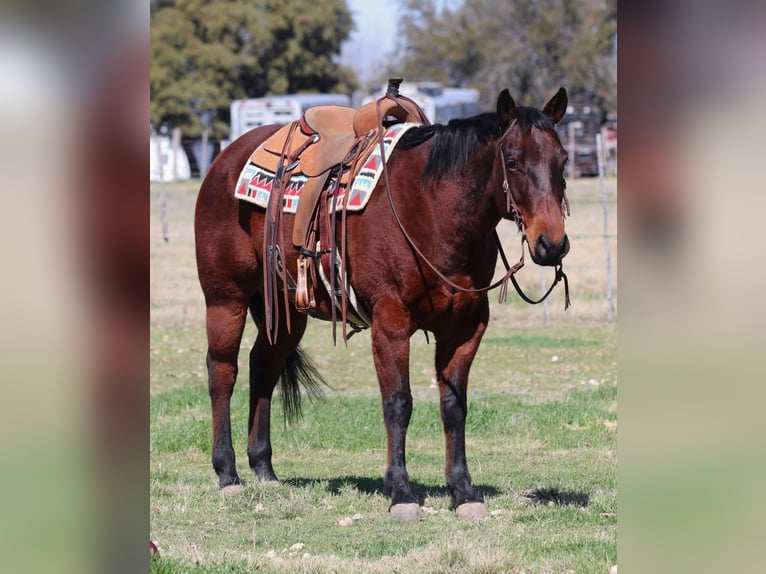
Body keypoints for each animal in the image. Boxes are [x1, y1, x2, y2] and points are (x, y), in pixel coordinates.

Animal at [195, 89, 572, 520]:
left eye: (563, 160)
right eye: (512, 160)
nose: (551, 243)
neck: (432, 208)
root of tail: (225, 158)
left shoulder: (466, 327)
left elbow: (454, 406)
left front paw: (463, 491)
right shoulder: (390, 322)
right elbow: (398, 403)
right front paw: (401, 492)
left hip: (287, 311)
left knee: (263, 367)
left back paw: (264, 469)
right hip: (225, 299)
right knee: (223, 372)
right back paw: (228, 473)